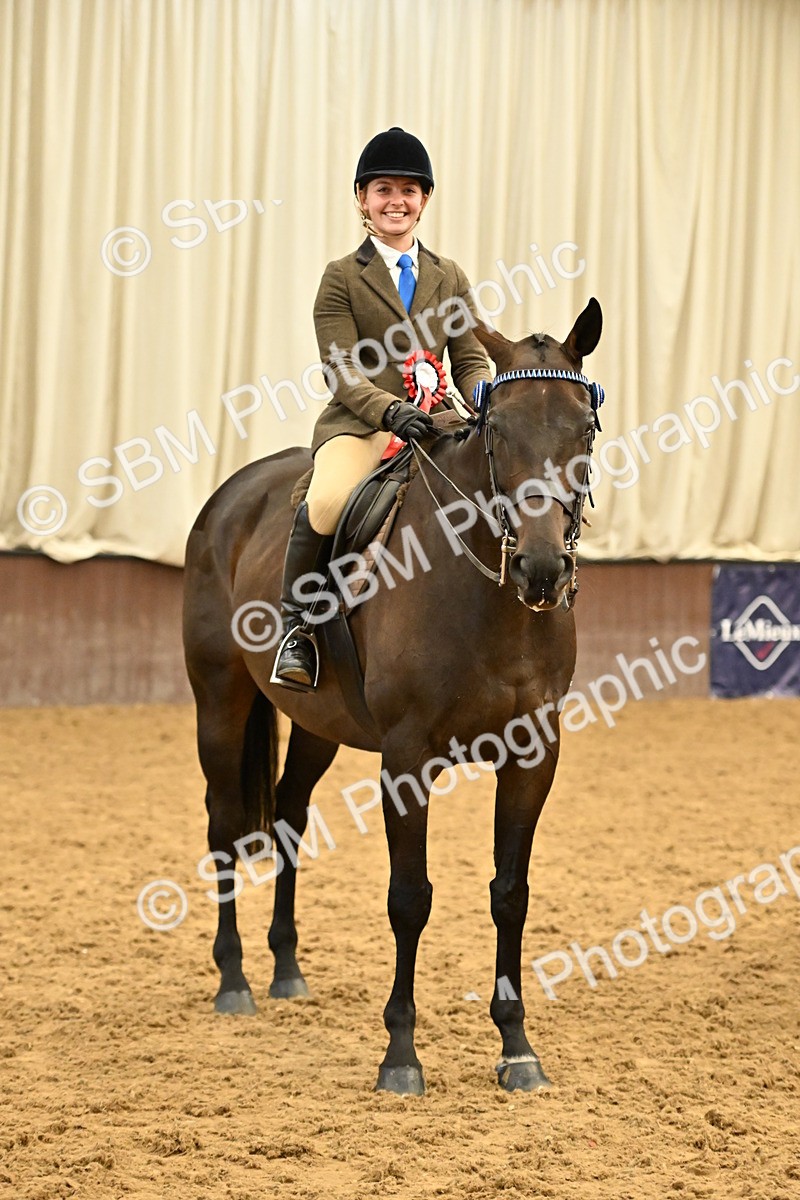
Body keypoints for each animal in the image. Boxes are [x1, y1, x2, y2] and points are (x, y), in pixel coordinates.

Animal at [182, 298, 604, 1095]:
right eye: (496, 429)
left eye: (585, 429)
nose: (540, 568)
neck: (489, 596)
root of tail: (232, 492)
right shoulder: (407, 758)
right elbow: (410, 898)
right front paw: (401, 1055)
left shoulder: (535, 753)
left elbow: (511, 893)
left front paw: (517, 1048)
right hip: (218, 698)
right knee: (224, 823)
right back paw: (235, 980)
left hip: (318, 723)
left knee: (288, 815)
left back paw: (285, 969)